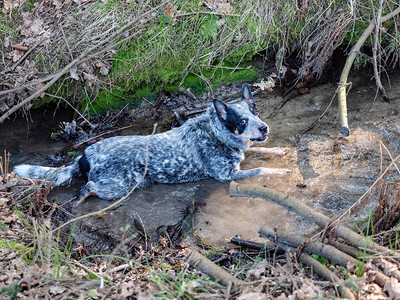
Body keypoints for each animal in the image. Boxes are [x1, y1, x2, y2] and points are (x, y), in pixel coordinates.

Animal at [14, 84, 290, 206]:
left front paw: (281, 150)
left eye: (255, 112)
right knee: (89, 186)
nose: (264, 127)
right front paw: (283, 170)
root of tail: (87, 153)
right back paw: (79, 200)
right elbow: (262, 169)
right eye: (242, 120)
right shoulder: (226, 174)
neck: (216, 133)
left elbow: (262, 149)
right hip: (119, 185)